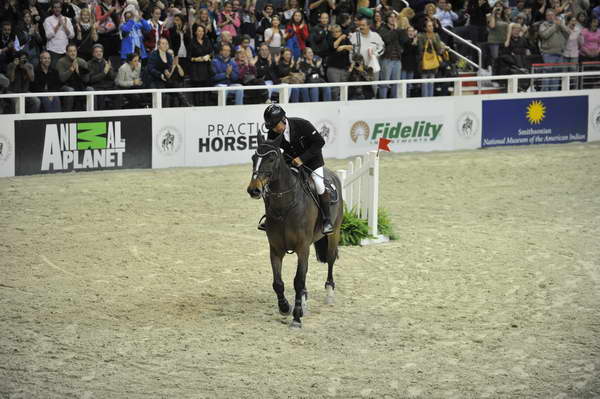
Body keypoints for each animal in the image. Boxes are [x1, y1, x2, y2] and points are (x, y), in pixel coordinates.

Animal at [247, 134, 342, 328]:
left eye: (271, 158)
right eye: (253, 158)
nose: (254, 190)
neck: (285, 206)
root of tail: (332, 174)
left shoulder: (302, 248)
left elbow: (298, 281)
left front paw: (297, 317)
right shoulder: (275, 250)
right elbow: (278, 283)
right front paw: (285, 307)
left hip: (334, 233)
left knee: (330, 260)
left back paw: (329, 293)